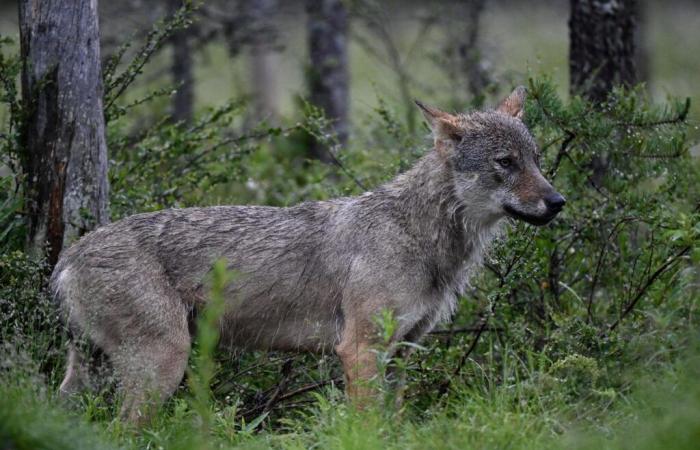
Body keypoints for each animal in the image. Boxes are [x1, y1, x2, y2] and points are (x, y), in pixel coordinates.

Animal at [50, 87, 564, 422]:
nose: (558, 202)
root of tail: (68, 256)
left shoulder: (403, 351)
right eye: (505, 163)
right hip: (163, 364)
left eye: (537, 160)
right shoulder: (360, 349)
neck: (422, 238)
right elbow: (368, 426)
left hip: (96, 374)